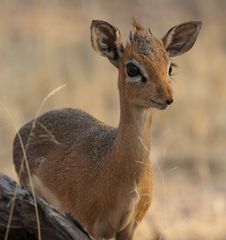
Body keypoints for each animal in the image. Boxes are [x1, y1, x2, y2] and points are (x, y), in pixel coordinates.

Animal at [12, 19, 201, 239]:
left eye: (170, 67)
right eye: (132, 68)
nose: (167, 97)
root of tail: (24, 129)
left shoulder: (129, 227)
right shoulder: (92, 225)